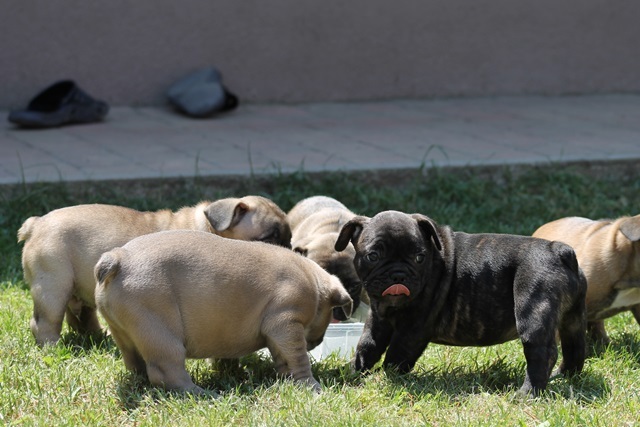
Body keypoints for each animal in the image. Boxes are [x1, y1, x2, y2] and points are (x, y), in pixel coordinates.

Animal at [16, 197, 292, 348]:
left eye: (288, 238)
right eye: (268, 239)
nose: (290, 250)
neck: (206, 227)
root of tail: (36, 224)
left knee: (81, 316)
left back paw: (99, 335)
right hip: (53, 286)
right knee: (45, 321)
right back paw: (53, 347)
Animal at [95, 231, 352, 394]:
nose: (316, 342)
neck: (313, 282)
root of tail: (119, 259)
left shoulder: (278, 334)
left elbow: (283, 357)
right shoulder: (287, 324)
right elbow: (298, 358)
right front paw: (310, 385)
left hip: (124, 332)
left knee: (135, 361)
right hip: (160, 331)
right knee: (167, 371)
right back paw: (201, 394)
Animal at [336, 211, 592, 398]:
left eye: (419, 257)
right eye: (373, 256)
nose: (398, 274)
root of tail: (560, 251)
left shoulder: (413, 329)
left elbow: (395, 355)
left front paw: (385, 378)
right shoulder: (378, 320)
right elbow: (368, 345)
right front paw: (354, 371)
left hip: (533, 313)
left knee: (542, 353)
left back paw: (526, 394)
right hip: (572, 317)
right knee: (574, 345)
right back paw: (566, 376)